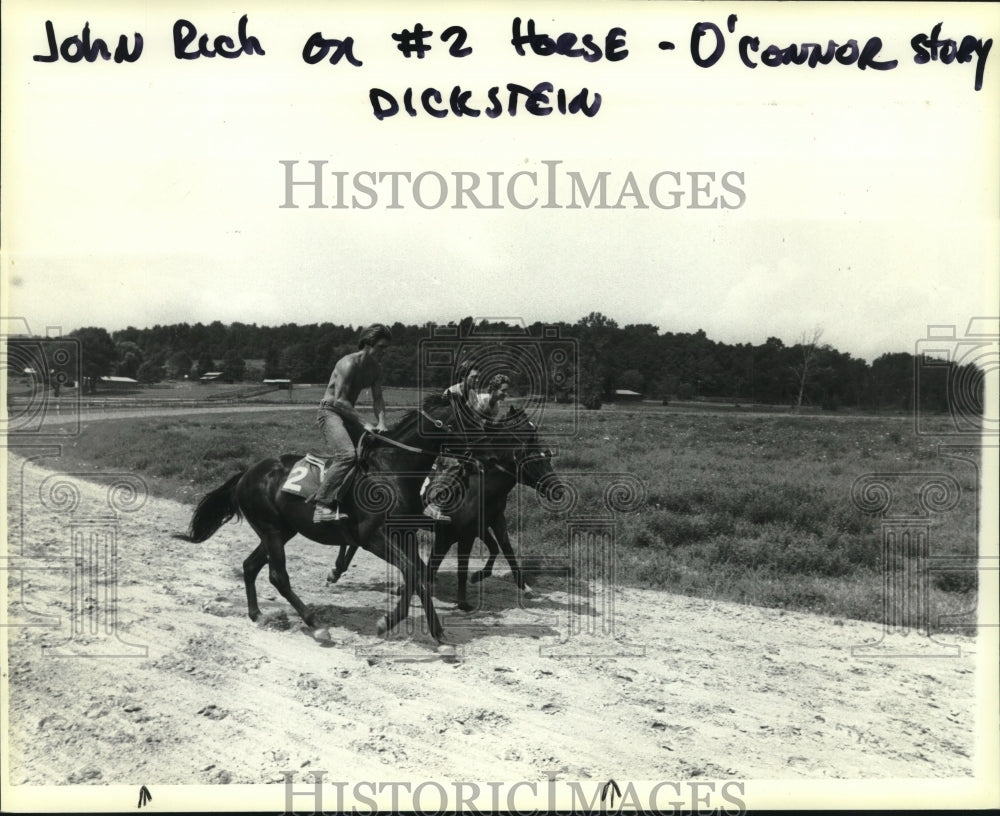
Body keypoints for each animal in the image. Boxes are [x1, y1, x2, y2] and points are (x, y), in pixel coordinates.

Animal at [180, 396, 496, 652]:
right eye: (471, 419)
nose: (491, 454)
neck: (391, 472)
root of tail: (246, 473)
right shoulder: (373, 538)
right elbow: (413, 573)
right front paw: (410, 629)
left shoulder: (404, 533)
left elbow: (418, 574)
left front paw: (420, 630)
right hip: (271, 530)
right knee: (278, 576)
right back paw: (316, 625)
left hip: (282, 530)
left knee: (249, 565)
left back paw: (257, 613)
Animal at [328, 404, 564, 608]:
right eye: (527, 428)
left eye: (546, 458)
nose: (558, 489)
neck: (482, 485)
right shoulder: (451, 533)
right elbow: (442, 562)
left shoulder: (490, 522)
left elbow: (504, 549)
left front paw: (521, 586)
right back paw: (338, 569)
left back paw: (339, 569)